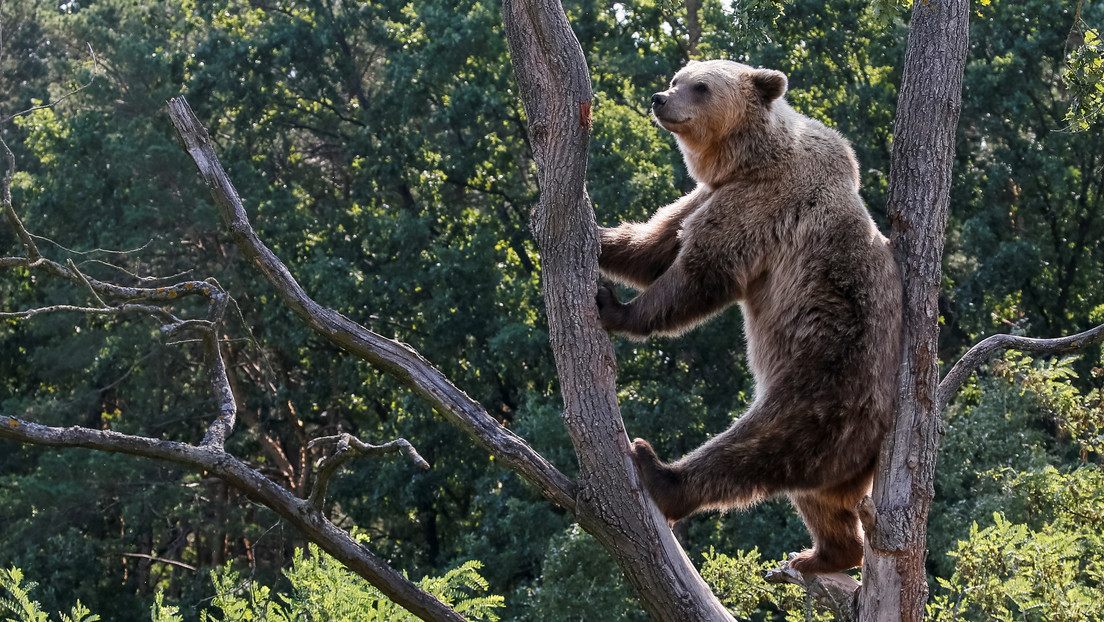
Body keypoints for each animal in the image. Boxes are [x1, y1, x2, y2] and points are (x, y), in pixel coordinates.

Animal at [600, 60, 900, 578]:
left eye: (701, 86)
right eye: (678, 77)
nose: (661, 98)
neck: (745, 161)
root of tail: (872, 449)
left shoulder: (760, 205)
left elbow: (699, 272)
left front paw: (616, 308)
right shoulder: (709, 194)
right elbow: (656, 243)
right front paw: (595, 236)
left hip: (826, 384)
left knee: (754, 447)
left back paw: (659, 472)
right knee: (819, 499)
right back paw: (823, 554)